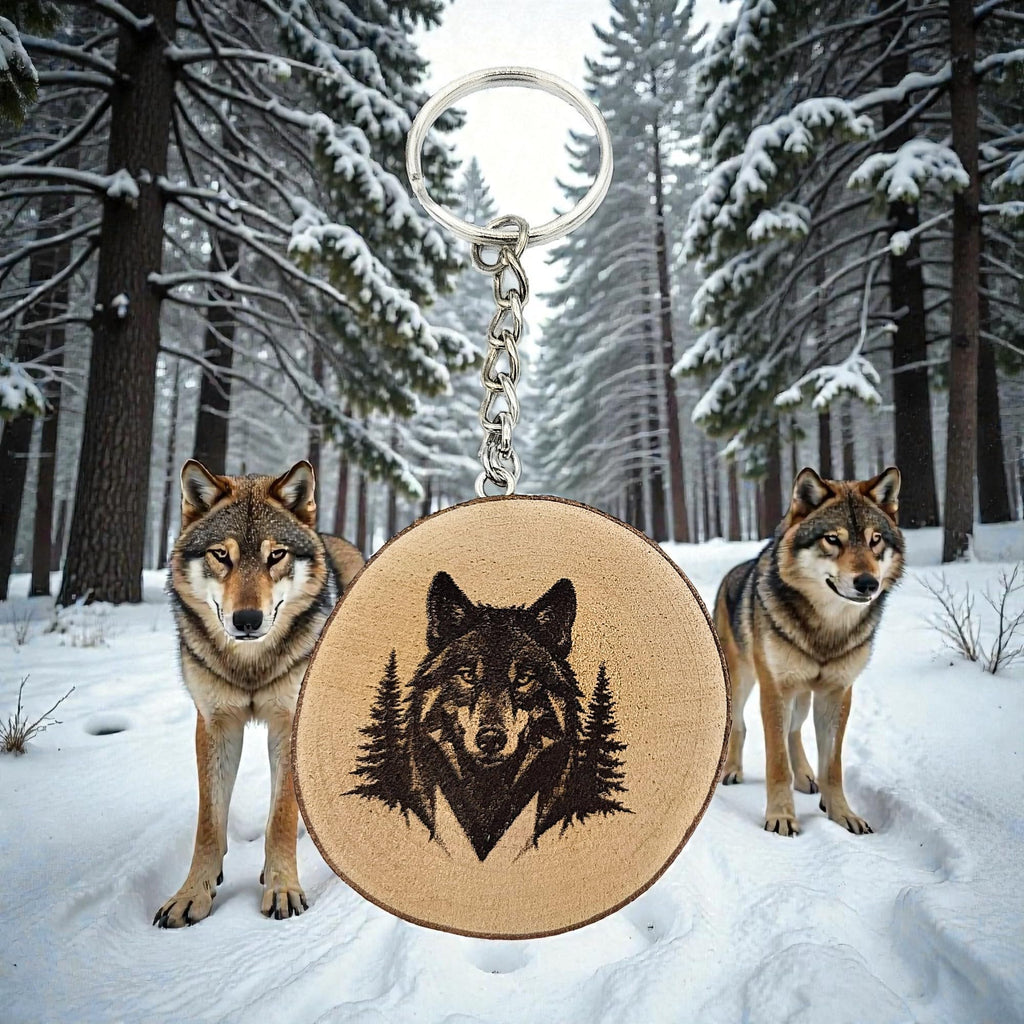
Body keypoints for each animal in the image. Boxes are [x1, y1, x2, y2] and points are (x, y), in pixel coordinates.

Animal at [154, 459, 363, 927]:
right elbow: (209, 824)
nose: (247, 620)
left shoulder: (288, 724)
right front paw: (192, 893)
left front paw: (283, 888)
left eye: (275, 556)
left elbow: (281, 817)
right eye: (221, 555)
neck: (249, 665)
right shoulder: (215, 726)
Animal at [714, 466, 903, 837]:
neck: (825, 631)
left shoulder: (836, 693)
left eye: (875, 539)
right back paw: (732, 770)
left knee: (794, 731)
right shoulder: (775, 689)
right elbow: (776, 763)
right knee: (740, 725)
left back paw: (803, 776)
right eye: (833, 539)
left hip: (802, 696)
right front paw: (781, 817)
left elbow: (832, 766)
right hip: (744, 682)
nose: (868, 583)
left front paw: (843, 814)